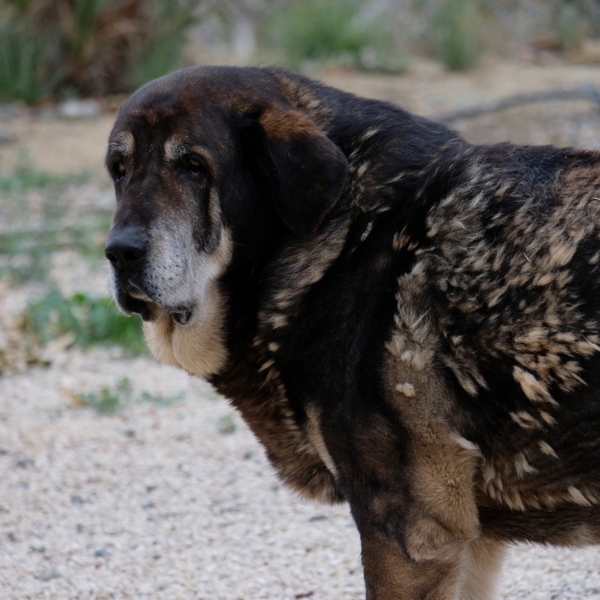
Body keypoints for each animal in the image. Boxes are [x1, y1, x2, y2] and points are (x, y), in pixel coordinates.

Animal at [105, 67, 600, 600]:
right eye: (119, 169)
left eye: (194, 167)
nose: (119, 252)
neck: (346, 238)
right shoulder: (469, 543)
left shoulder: (410, 533)